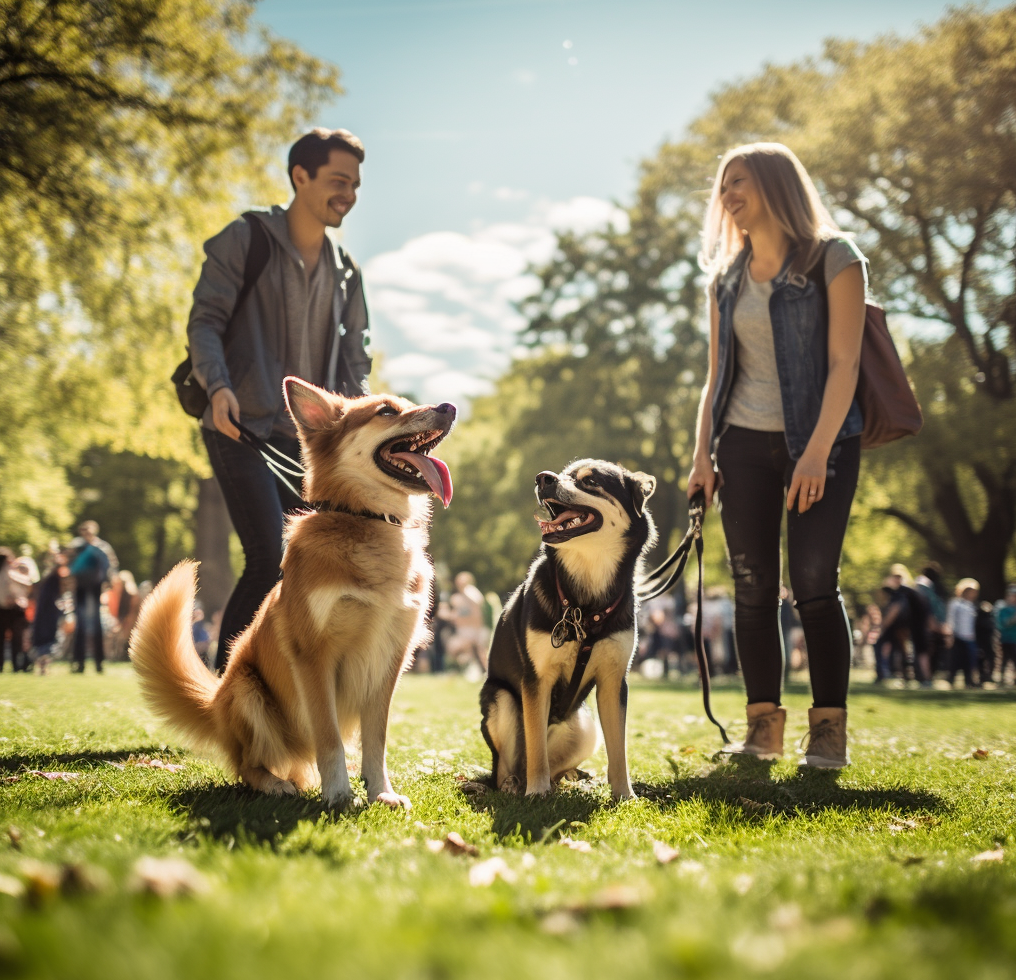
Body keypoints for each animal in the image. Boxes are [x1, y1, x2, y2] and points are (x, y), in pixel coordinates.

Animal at [129, 377, 455, 808]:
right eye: (386, 411)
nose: (449, 407)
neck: (365, 520)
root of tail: (215, 704)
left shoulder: (389, 658)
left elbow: (377, 739)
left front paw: (381, 791)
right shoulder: (313, 654)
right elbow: (329, 738)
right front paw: (339, 794)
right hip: (247, 690)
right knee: (248, 766)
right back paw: (275, 784)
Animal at [477, 459, 654, 796]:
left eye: (590, 481)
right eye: (563, 474)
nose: (542, 478)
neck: (585, 606)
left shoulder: (613, 681)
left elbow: (619, 750)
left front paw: (625, 795)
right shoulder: (536, 679)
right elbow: (535, 746)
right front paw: (536, 791)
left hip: (585, 725)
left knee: (558, 765)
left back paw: (569, 780)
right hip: (500, 700)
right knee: (509, 765)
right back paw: (516, 785)